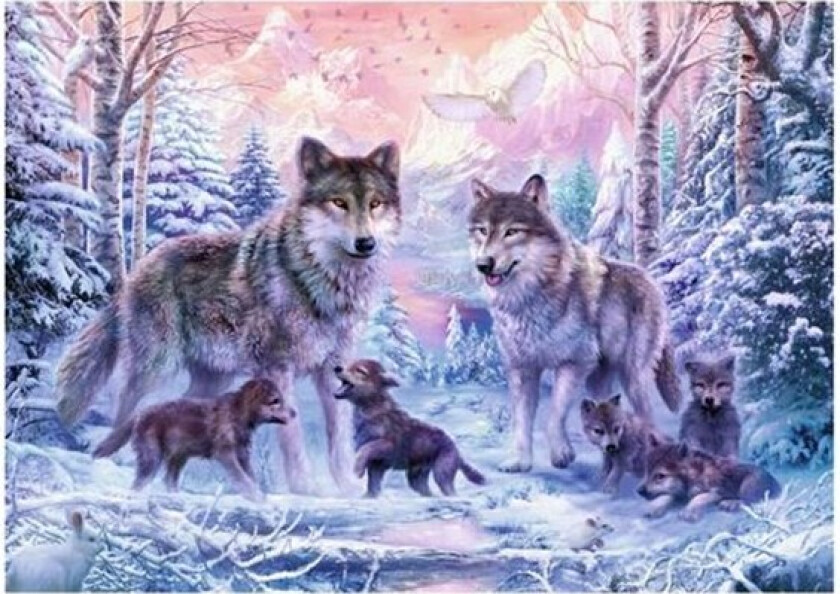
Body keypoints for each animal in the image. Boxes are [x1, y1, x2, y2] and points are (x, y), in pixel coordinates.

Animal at [93, 378, 295, 501]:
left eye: (281, 399)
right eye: (276, 400)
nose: (295, 413)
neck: (238, 415)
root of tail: (140, 412)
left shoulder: (243, 454)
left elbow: (251, 477)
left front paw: (259, 496)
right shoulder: (225, 454)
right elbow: (242, 479)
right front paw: (255, 497)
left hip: (178, 458)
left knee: (168, 480)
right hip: (153, 459)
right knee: (139, 483)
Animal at [334, 359, 486, 497]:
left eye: (360, 371)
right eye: (348, 364)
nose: (337, 368)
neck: (372, 410)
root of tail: (456, 448)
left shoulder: (387, 446)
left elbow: (365, 450)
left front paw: (357, 471)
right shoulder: (377, 465)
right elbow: (373, 485)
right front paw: (369, 496)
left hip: (441, 475)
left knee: (451, 492)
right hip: (415, 479)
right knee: (428, 492)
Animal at [467, 174, 681, 473]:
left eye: (512, 232)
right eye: (483, 231)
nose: (484, 264)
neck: (529, 298)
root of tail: (652, 282)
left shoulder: (573, 364)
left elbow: (554, 415)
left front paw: (561, 454)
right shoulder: (522, 369)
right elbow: (521, 423)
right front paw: (521, 462)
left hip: (632, 376)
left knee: (647, 418)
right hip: (599, 382)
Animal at [637, 438, 781, 522]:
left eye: (660, 476)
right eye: (646, 472)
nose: (639, 491)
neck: (694, 476)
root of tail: (778, 485)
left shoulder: (719, 490)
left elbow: (699, 498)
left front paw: (689, 512)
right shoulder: (678, 494)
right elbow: (665, 497)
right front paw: (653, 509)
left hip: (750, 482)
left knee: (750, 501)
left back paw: (730, 503)